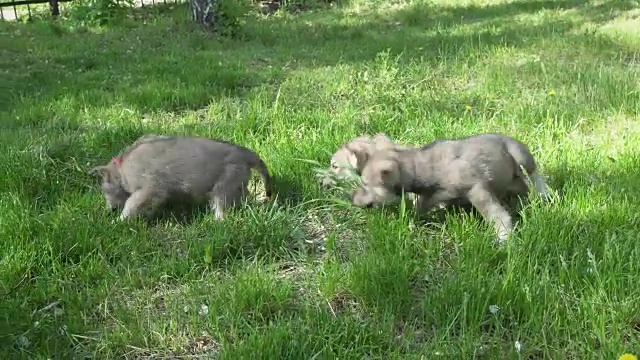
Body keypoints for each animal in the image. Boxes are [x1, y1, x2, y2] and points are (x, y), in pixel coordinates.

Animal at [350, 132, 552, 245]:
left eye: (365, 184)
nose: (351, 199)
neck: (423, 168)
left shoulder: (477, 190)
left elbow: (497, 216)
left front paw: (504, 239)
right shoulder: (433, 195)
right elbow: (421, 205)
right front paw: (411, 222)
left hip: (521, 154)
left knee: (535, 175)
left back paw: (544, 195)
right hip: (513, 179)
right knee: (523, 186)